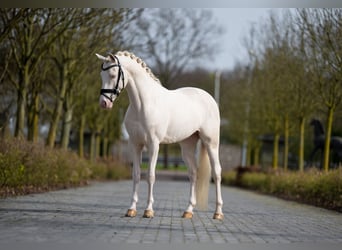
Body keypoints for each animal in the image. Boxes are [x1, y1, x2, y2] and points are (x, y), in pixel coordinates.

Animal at [95, 51, 224, 220]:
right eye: (101, 75)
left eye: (113, 74)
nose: (104, 103)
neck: (143, 104)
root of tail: (209, 98)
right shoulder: (135, 145)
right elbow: (136, 175)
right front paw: (131, 209)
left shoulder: (153, 144)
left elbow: (150, 175)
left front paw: (149, 210)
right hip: (187, 145)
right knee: (193, 173)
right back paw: (188, 211)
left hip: (211, 143)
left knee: (217, 173)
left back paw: (218, 213)